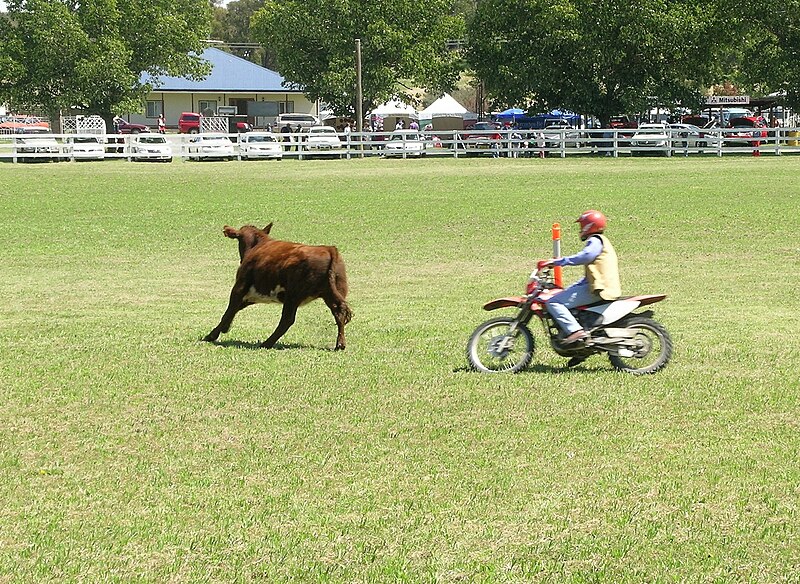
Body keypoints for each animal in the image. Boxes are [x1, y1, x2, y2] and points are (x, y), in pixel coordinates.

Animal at [205, 224, 354, 352]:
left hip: (293, 296)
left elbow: (229, 311)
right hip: (331, 293)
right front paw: (223, 329)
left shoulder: (239, 287)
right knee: (339, 314)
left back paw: (266, 343)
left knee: (287, 320)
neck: (257, 245)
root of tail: (329, 249)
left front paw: (212, 335)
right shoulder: (252, 295)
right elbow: (235, 309)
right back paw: (340, 344)